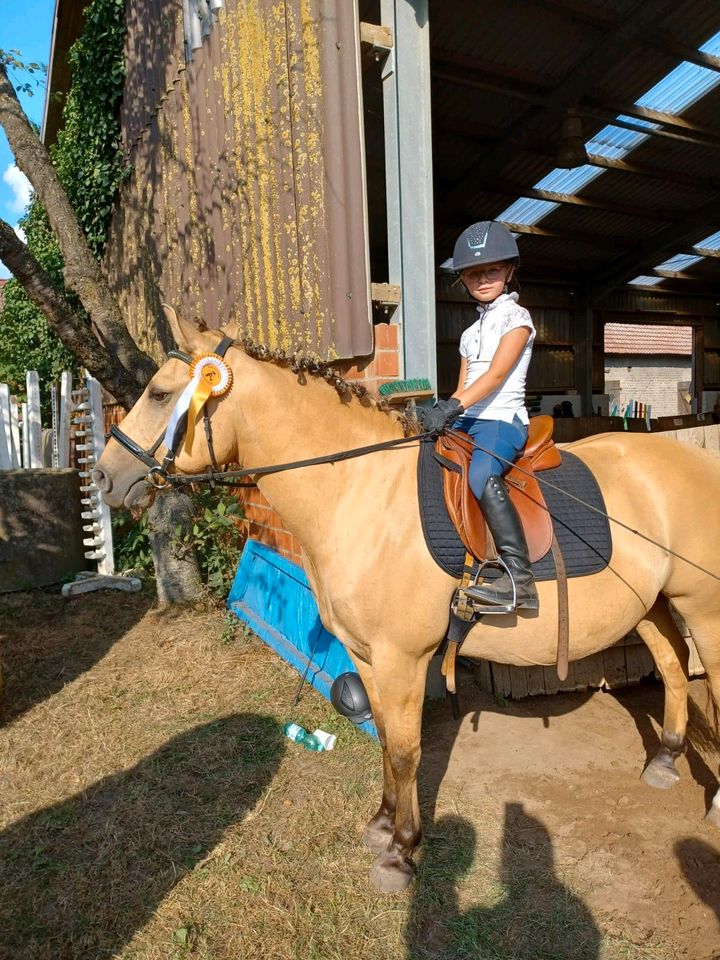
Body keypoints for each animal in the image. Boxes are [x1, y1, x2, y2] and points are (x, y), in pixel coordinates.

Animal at [94, 312, 720, 896]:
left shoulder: (403, 658)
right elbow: (387, 745)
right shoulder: (367, 655)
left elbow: (404, 751)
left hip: (704, 610)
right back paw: (664, 760)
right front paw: (382, 824)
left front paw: (401, 852)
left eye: (160, 394)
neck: (360, 489)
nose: (103, 478)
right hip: (652, 604)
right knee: (671, 667)